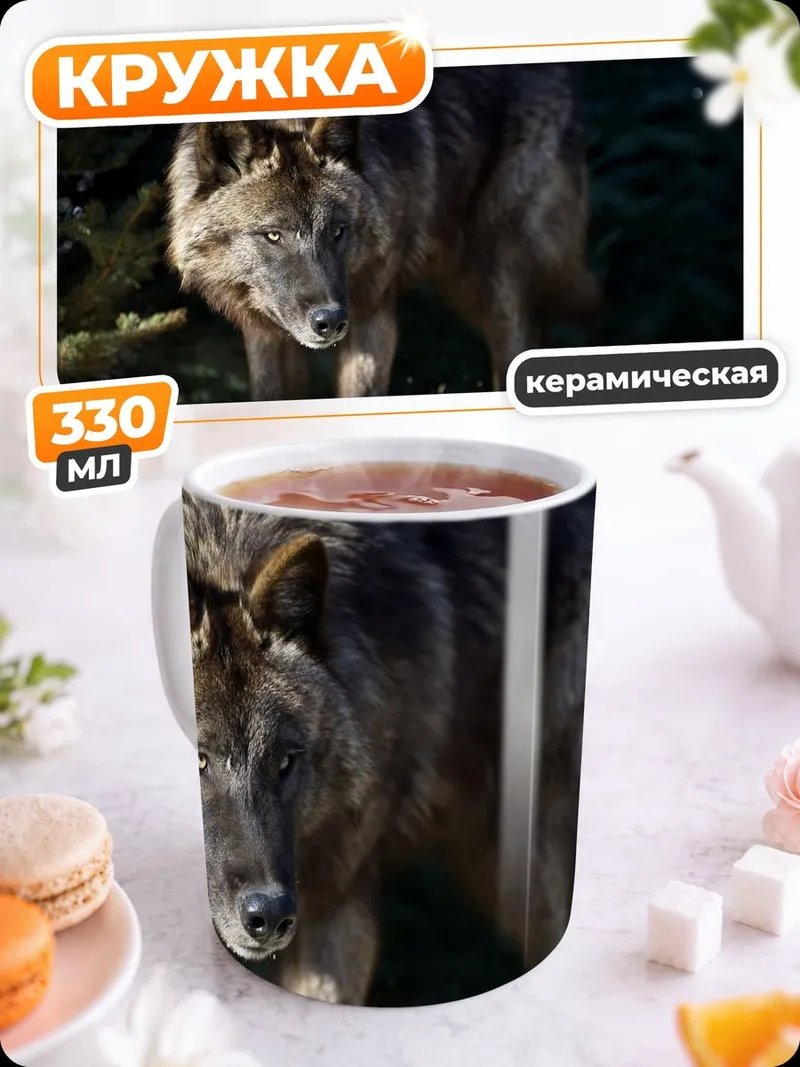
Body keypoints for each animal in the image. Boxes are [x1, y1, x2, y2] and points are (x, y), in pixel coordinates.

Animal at [166, 64, 600, 402]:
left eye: (337, 231)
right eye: (273, 235)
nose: (330, 321)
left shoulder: (372, 315)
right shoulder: (265, 333)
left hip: (497, 275)